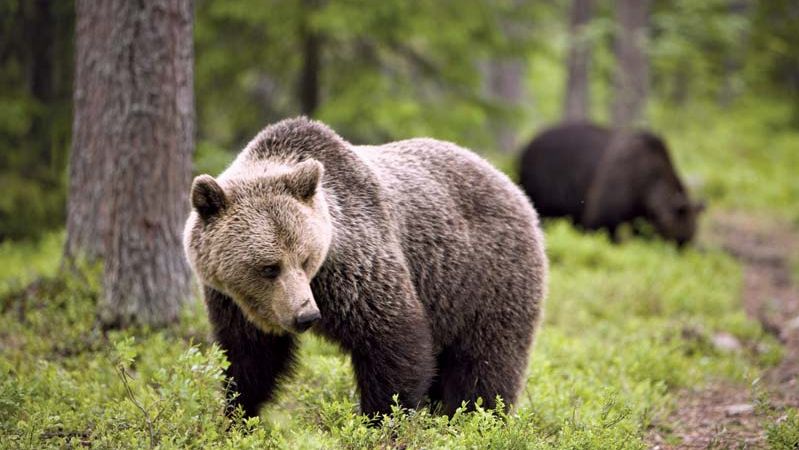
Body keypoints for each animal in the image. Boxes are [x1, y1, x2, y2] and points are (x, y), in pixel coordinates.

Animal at [183, 117, 548, 420]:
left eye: (305, 258)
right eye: (269, 267)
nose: (306, 316)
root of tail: (511, 185)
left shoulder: (354, 266)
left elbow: (392, 340)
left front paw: (381, 419)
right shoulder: (232, 300)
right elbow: (250, 358)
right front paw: (238, 414)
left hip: (485, 279)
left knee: (484, 363)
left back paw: (476, 418)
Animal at [518, 122, 704, 245]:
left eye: (686, 241)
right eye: (677, 241)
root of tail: (527, 143)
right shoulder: (618, 184)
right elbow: (602, 224)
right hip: (545, 185)